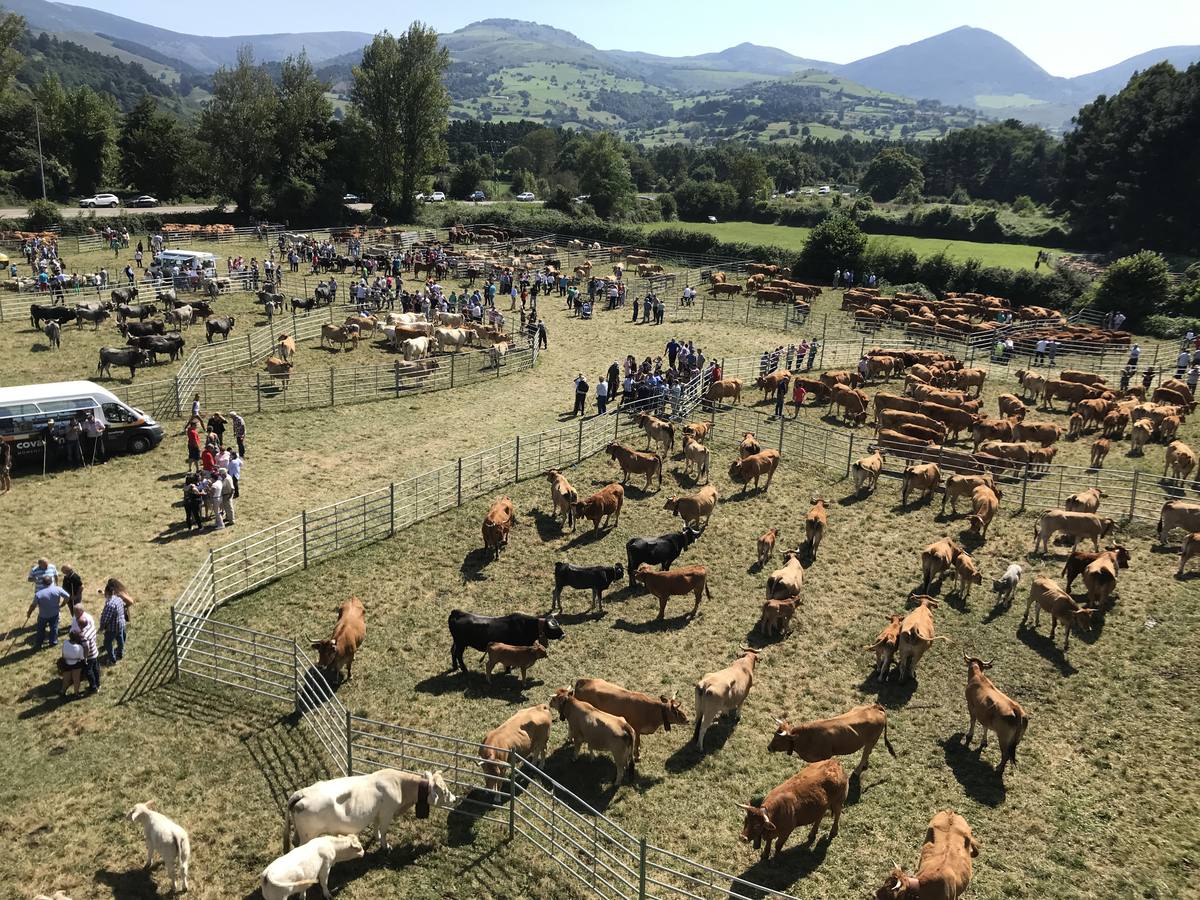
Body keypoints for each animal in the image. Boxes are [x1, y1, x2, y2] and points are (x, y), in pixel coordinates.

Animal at [283, 772, 456, 854]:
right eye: (445, 791)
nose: (455, 799)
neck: (400, 785)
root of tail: (301, 793)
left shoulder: (377, 813)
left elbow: (376, 827)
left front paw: (377, 838)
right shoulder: (387, 812)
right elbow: (384, 831)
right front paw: (386, 846)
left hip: (300, 832)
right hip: (309, 834)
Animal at [763, 705, 897, 777]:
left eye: (778, 738)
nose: (769, 747)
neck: (807, 737)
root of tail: (875, 707)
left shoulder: (826, 756)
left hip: (871, 740)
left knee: (865, 754)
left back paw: (857, 771)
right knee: (867, 753)